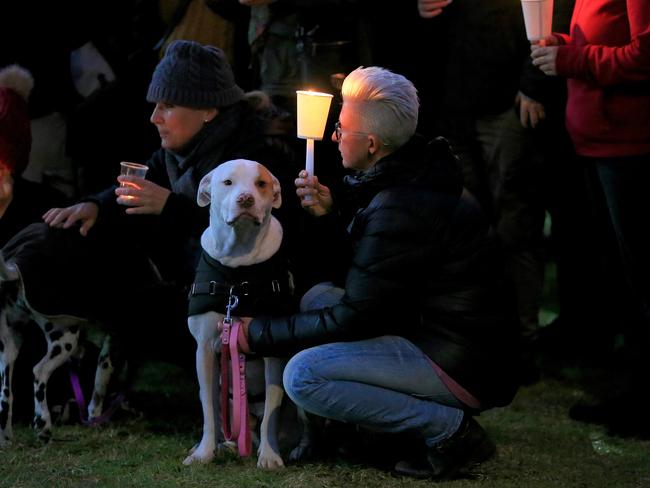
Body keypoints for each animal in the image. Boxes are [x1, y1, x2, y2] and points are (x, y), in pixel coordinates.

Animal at [182, 160, 308, 468]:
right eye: (227, 182)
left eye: (260, 184)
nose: (246, 199)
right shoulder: (205, 349)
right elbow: (208, 410)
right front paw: (204, 453)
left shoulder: (273, 349)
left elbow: (272, 412)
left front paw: (270, 456)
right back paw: (222, 444)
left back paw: (298, 448)